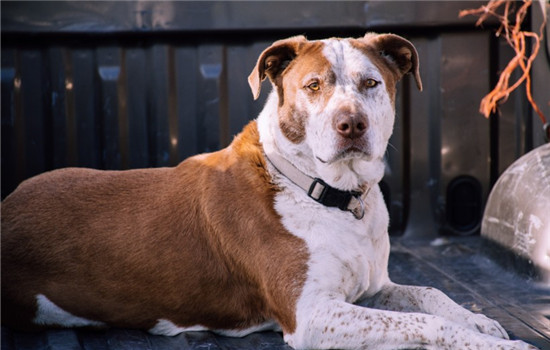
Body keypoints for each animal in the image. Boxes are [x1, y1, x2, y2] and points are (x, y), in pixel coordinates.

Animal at [1, 32, 540, 348]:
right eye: (314, 85)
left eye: (370, 83)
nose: (352, 125)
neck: (330, 193)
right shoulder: (313, 314)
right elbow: (429, 324)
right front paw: (499, 344)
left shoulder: (372, 288)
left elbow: (431, 294)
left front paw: (481, 322)